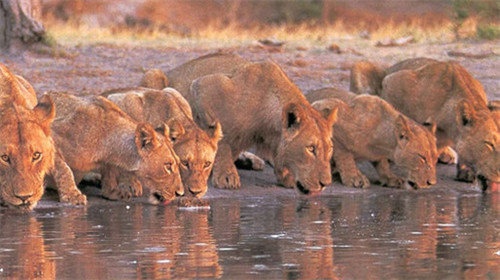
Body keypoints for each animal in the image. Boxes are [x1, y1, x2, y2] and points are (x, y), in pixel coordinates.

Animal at [0, 64, 86, 210]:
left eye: (36, 155)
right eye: (4, 158)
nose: (24, 197)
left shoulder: (50, 145)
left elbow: (63, 168)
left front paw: (73, 195)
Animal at [46, 92, 184, 203]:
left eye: (178, 163)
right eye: (167, 166)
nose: (180, 194)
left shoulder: (109, 160)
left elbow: (110, 172)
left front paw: (113, 192)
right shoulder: (52, 136)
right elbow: (64, 170)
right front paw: (73, 196)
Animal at [162, 53, 338, 195]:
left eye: (330, 149)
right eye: (311, 148)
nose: (325, 184)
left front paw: (286, 174)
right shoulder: (204, 86)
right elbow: (221, 137)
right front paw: (226, 175)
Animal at [306, 87, 436, 188]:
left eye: (435, 159)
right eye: (422, 157)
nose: (431, 183)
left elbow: (382, 163)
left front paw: (390, 177)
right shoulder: (325, 106)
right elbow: (345, 155)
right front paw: (354, 177)